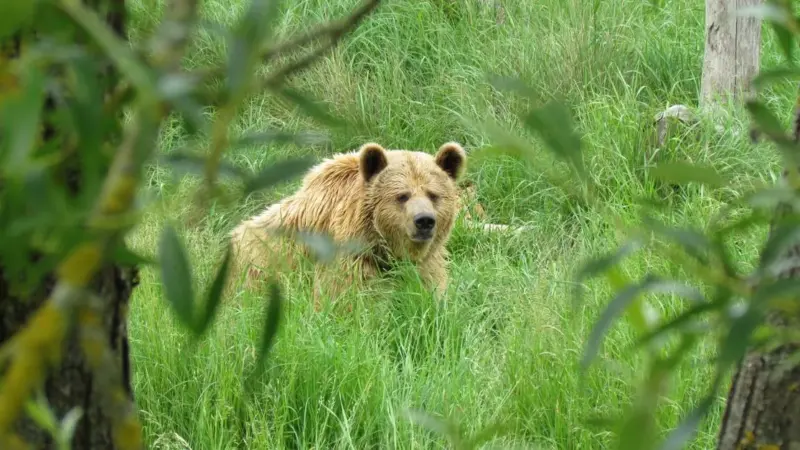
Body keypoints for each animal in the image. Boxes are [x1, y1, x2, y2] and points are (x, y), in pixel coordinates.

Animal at [228, 141, 467, 306]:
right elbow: (345, 301)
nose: (424, 221)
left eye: (433, 195)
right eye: (402, 196)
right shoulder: (348, 260)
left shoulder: (425, 262)